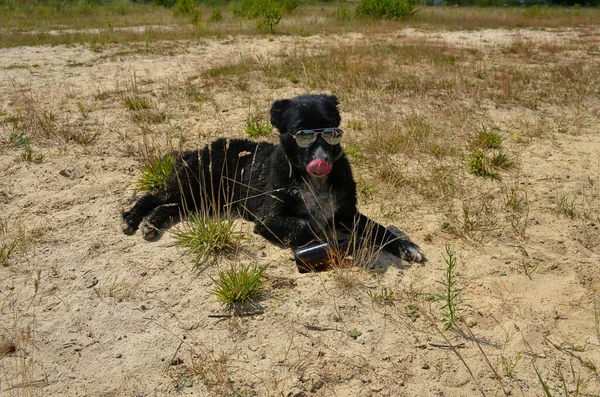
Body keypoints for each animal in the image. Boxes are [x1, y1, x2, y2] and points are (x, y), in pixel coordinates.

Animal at [122, 94, 424, 262]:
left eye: (331, 130)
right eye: (301, 131)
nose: (323, 161)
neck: (307, 178)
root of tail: (194, 150)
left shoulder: (347, 213)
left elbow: (379, 229)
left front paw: (405, 245)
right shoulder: (268, 218)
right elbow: (306, 226)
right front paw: (331, 245)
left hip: (201, 199)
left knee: (170, 207)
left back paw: (152, 222)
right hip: (190, 186)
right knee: (152, 197)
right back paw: (134, 218)